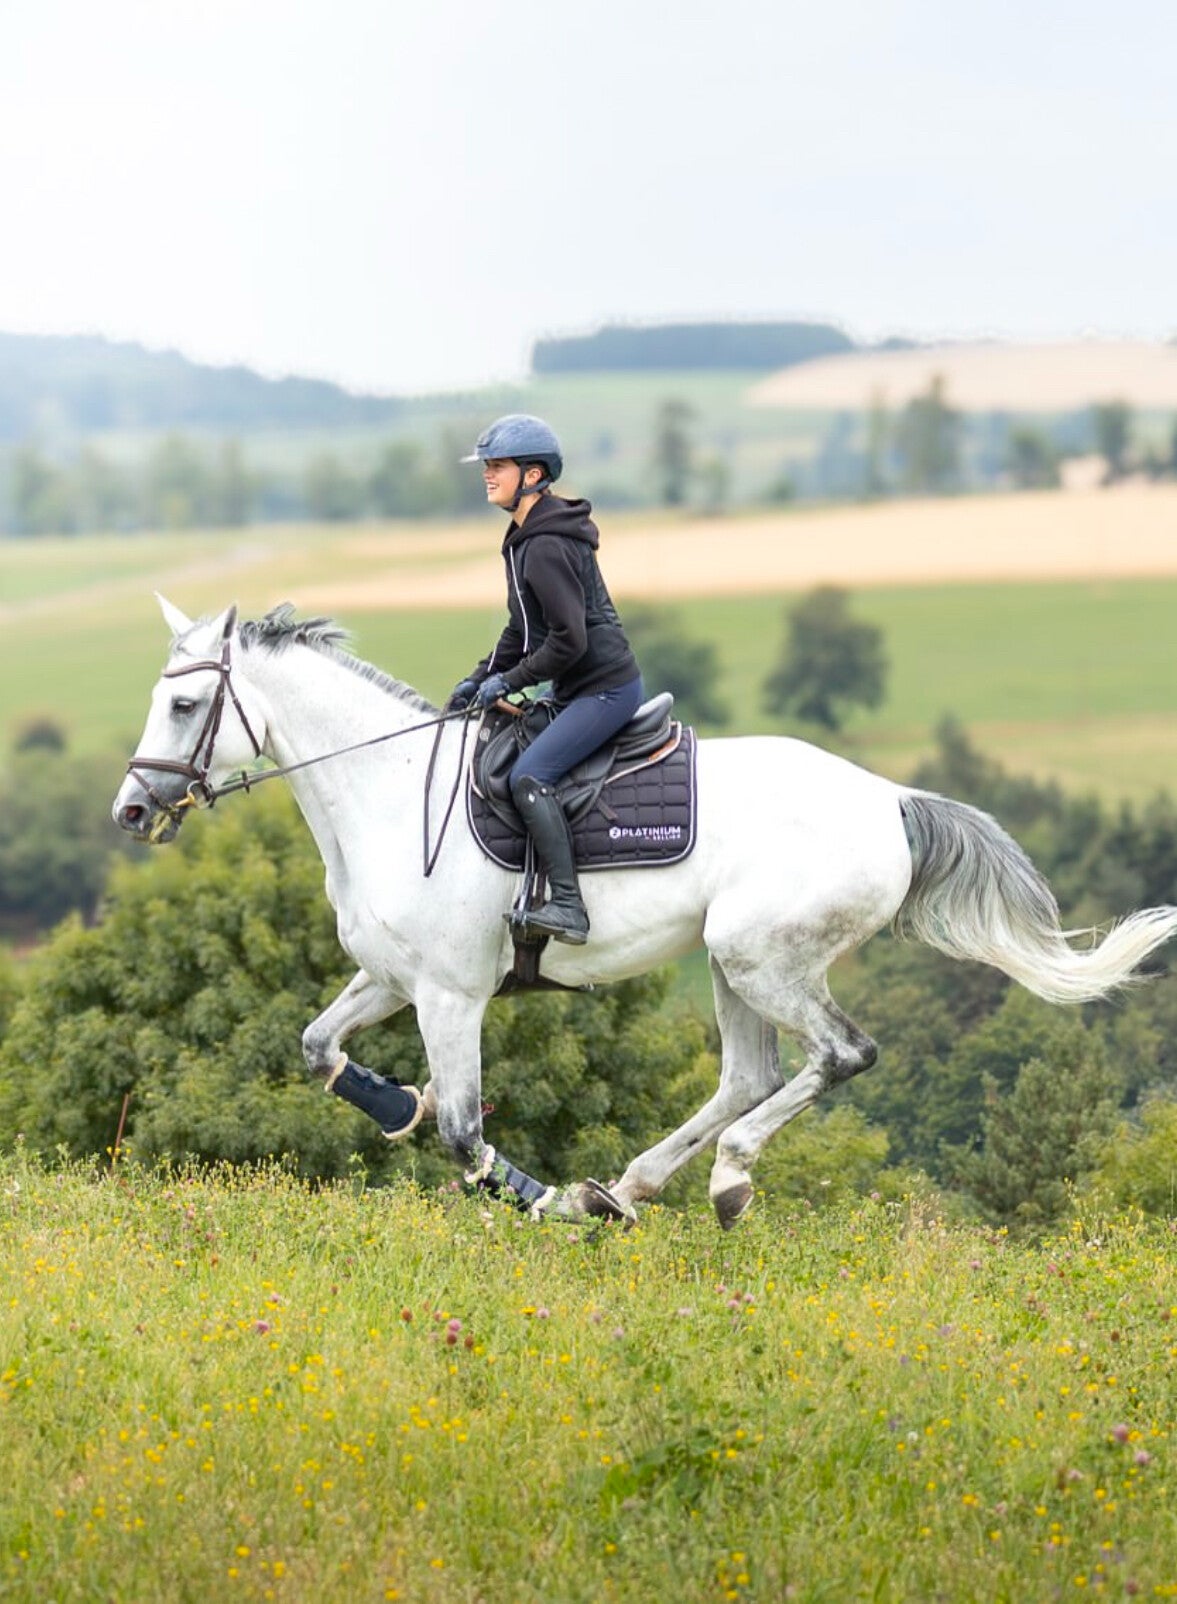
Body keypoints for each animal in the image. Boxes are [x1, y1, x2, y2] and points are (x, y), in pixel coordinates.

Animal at [112, 597, 1177, 1227]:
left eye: (182, 708)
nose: (130, 813)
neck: (383, 788)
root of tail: (889, 801)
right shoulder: (390, 976)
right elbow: (318, 1048)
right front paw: (395, 1107)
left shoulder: (452, 995)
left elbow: (461, 1131)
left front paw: (535, 1197)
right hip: (729, 962)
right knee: (749, 1075)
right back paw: (624, 1188)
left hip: (760, 958)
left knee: (840, 1055)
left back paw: (719, 1181)